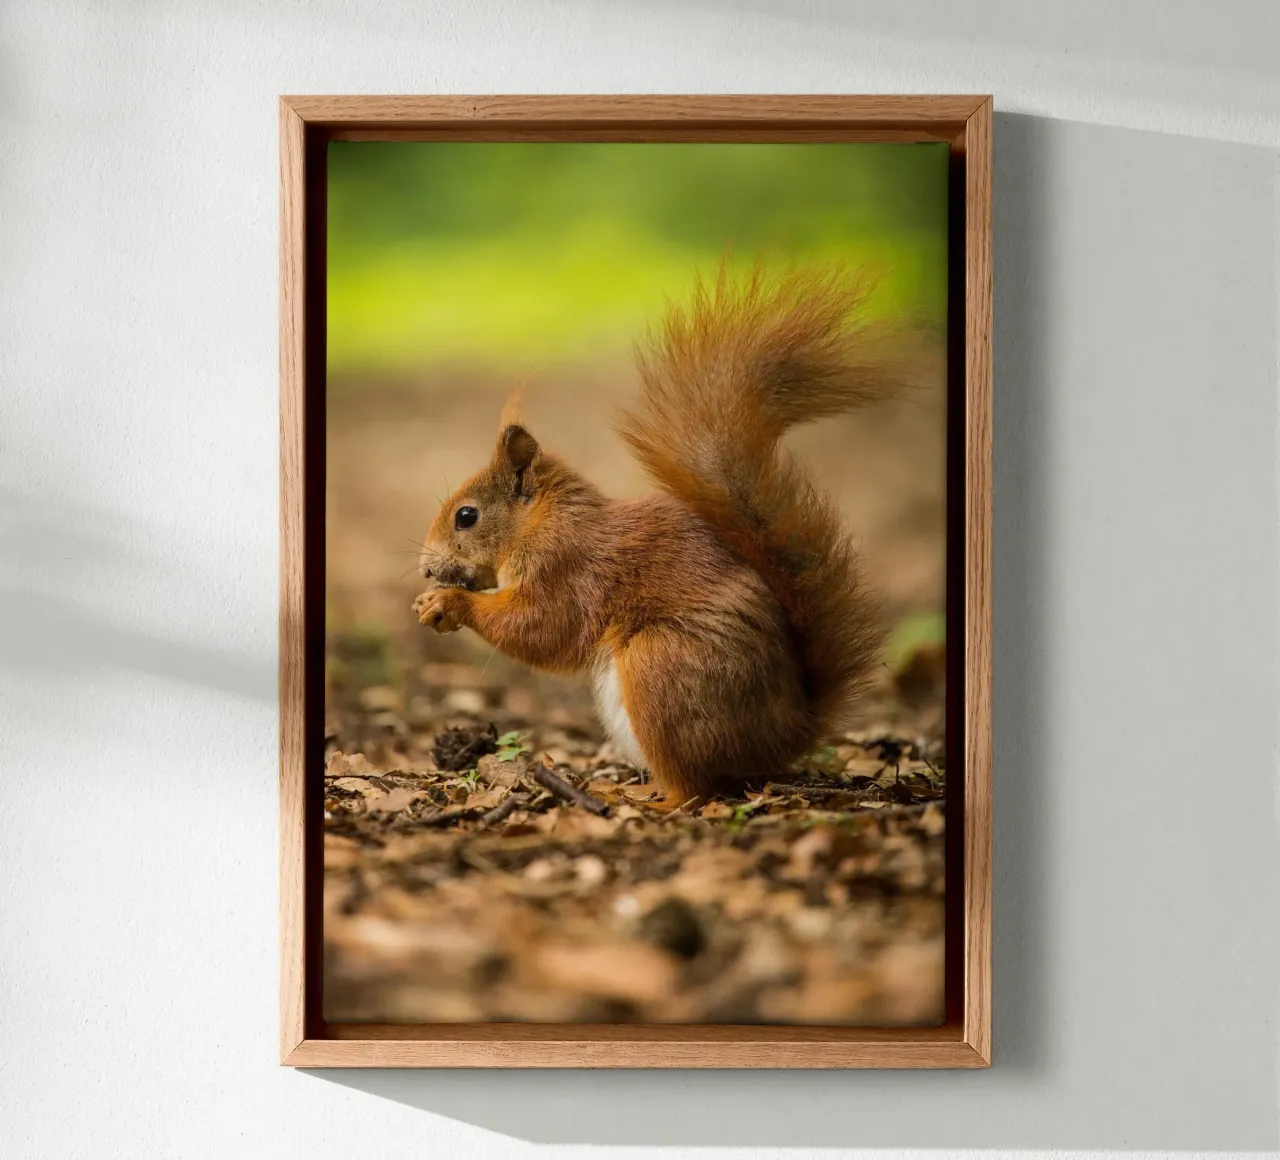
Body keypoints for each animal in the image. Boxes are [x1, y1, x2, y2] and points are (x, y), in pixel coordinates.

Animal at [413, 264, 935, 807]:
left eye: (466, 516)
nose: (426, 568)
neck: (543, 521)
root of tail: (785, 735)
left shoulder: (569, 568)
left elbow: (542, 627)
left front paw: (448, 603)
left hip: (661, 667)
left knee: (694, 789)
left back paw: (637, 798)